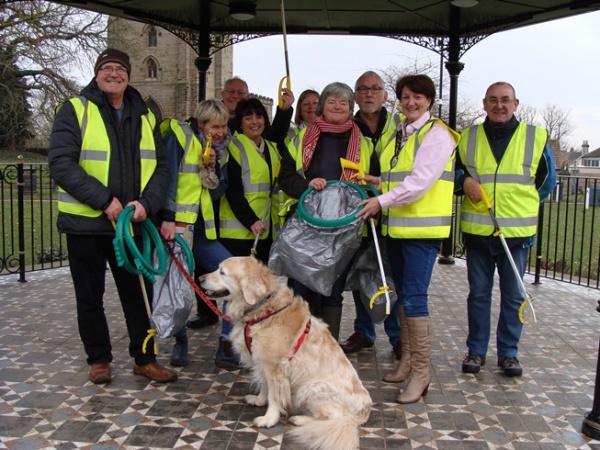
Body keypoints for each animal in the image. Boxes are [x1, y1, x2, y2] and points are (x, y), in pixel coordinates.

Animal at [199, 256, 372, 450]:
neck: (262, 308)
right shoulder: (263, 363)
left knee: (333, 418)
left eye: (222, 272)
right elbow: (265, 387)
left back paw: (300, 420)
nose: (200, 278)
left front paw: (269, 419)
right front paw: (259, 400)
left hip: (311, 387)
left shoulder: (276, 369)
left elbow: (275, 396)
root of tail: (364, 412)